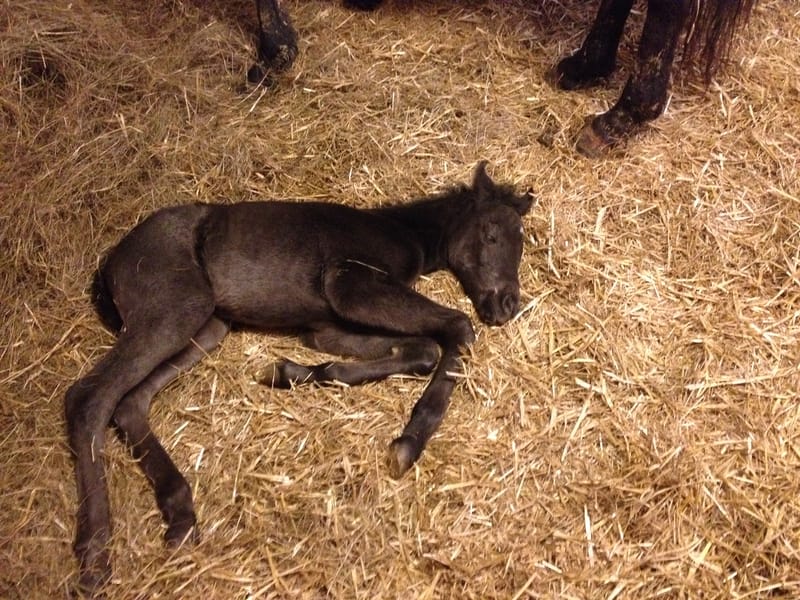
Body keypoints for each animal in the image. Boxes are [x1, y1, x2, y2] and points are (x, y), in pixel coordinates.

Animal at [65, 162, 536, 592]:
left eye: (521, 242)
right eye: (491, 234)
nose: (507, 304)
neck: (403, 231)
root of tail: (110, 263)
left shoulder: (326, 326)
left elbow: (420, 351)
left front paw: (291, 372)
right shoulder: (351, 284)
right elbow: (456, 328)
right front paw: (409, 442)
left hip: (207, 327)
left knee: (130, 402)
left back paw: (179, 513)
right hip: (177, 308)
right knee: (90, 397)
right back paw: (94, 556)